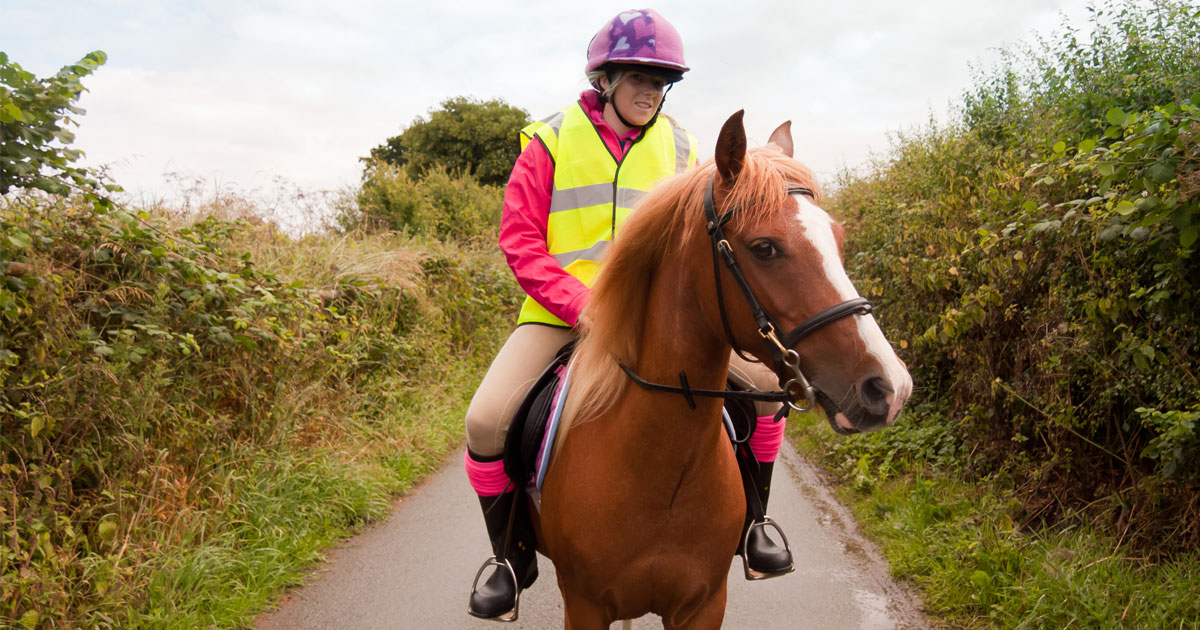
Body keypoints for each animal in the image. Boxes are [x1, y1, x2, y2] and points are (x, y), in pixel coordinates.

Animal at [535, 110, 907, 624]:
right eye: (765, 247)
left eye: (837, 239)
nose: (889, 388)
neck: (662, 473)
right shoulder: (584, 607)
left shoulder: (704, 605)